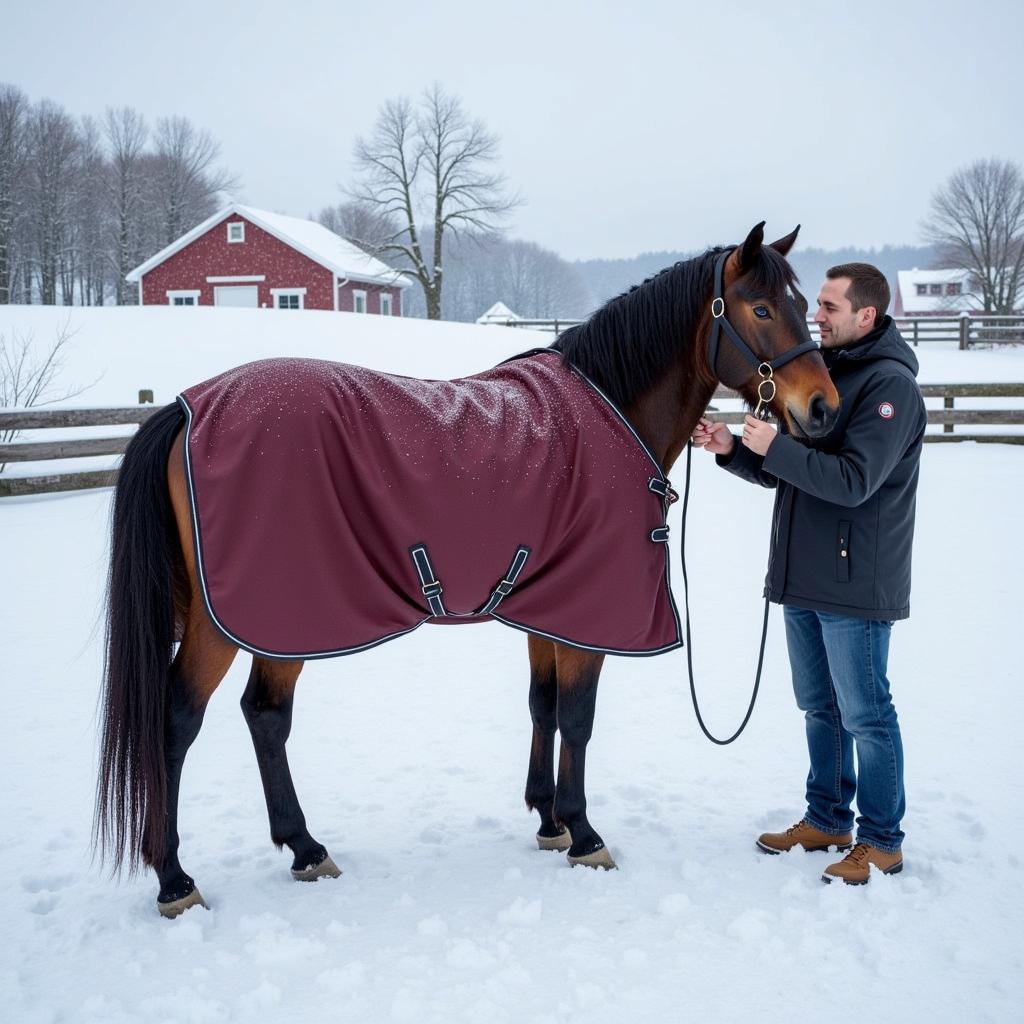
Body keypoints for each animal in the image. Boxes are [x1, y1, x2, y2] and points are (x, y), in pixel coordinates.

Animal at [94, 220, 839, 917]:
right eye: (761, 308)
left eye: (806, 305)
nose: (822, 408)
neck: (612, 410)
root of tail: (184, 409)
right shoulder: (589, 616)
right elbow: (579, 717)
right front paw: (585, 832)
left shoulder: (552, 606)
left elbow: (544, 706)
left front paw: (548, 819)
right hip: (232, 620)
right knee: (178, 722)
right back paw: (176, 879)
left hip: (283, 616)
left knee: (265, 716)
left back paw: (305, 849)